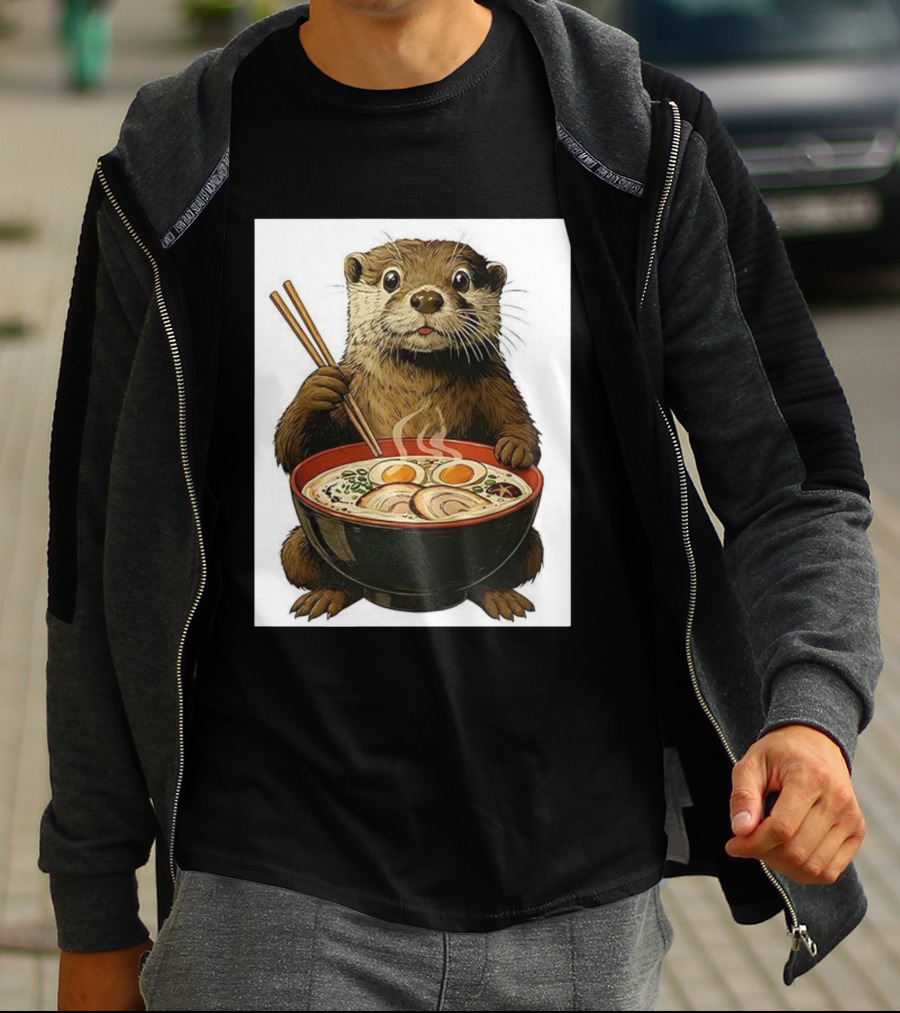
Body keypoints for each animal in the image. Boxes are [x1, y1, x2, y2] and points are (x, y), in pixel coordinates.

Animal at [275, 238, 543, 620]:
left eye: (461, 279)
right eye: (391, 279)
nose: (427, 297)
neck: (417, 391)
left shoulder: (498, 384)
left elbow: (519, 420)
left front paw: (515, 448)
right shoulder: (350, 391)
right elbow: (292, 452)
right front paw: (320, 385)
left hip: (530, 544)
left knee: (516, 561)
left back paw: (502, 598)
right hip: (299, 545)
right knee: (308, 562)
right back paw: (325, 596)